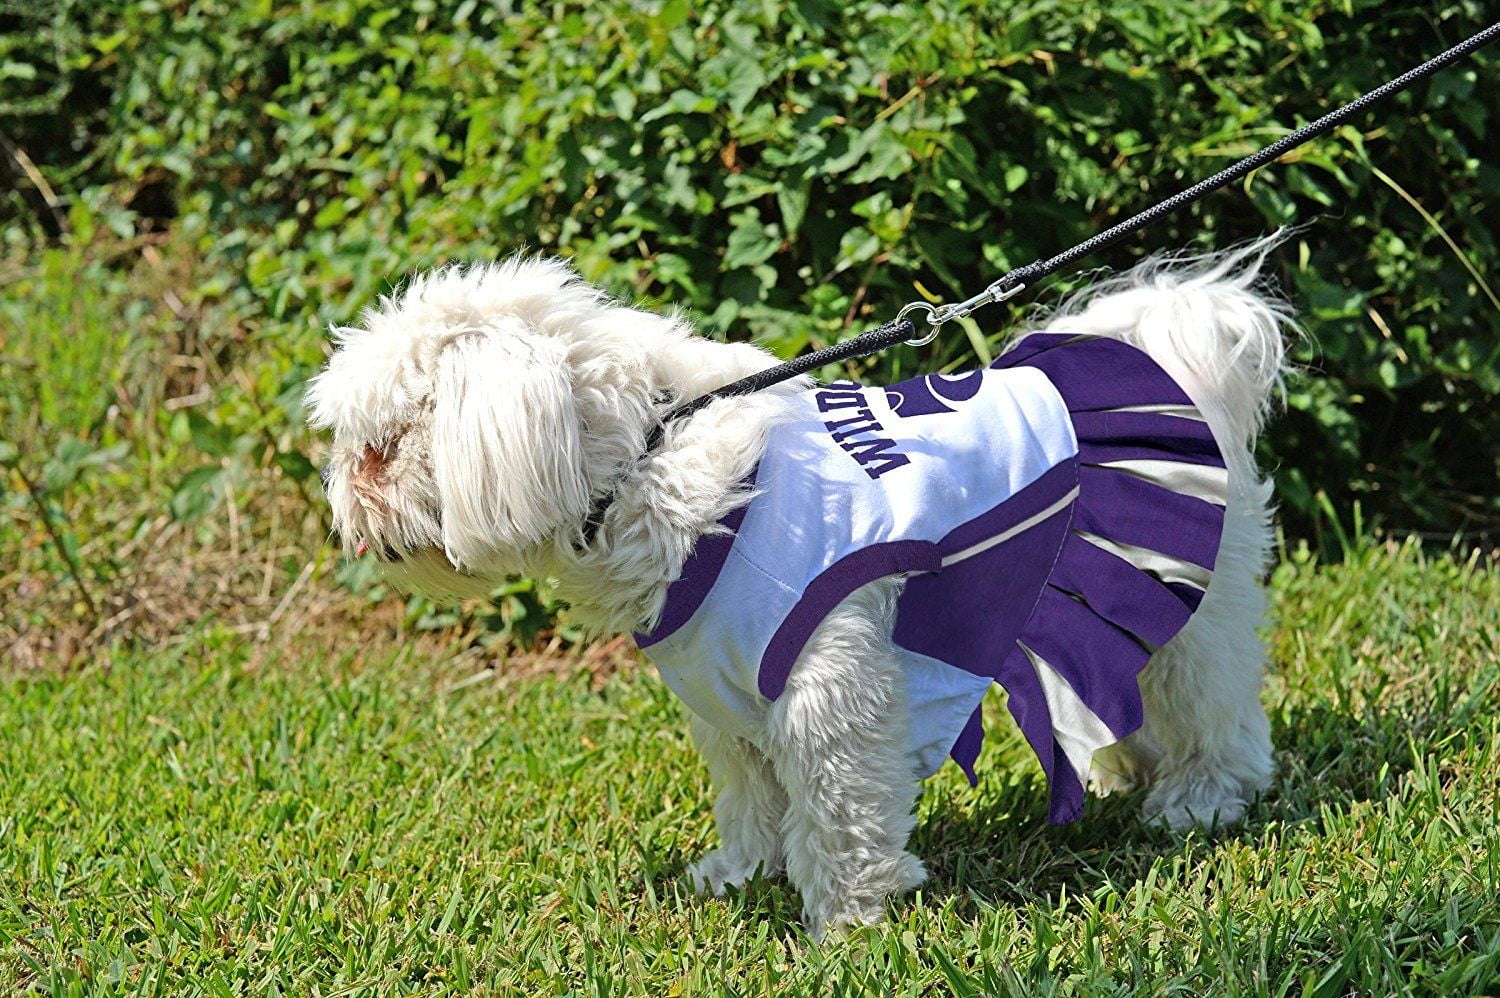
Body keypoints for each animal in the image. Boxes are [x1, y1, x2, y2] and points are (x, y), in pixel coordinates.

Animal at [304, 241, 1290, 936]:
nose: (343, 499)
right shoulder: (726, 692)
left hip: (1183, 596)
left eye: (381, 448)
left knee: (1213, 702)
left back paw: (1200, 799)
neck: (656, 456)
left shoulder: (829, 686)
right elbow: (752, 796)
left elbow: (839, 808)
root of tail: (1159, 356)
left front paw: (847, 922)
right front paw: (742, 874)